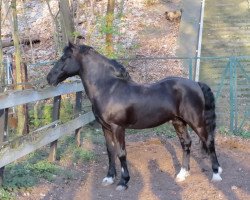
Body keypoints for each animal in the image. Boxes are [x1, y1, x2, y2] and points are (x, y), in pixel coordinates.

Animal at [47, 42, 223, 191]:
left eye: (64, 58)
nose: (49, 78)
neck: (108, 89)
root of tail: (196, 84)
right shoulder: (105, 127)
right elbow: (110, 151)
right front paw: (109, 178)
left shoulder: (118, 128)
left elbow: (121, 153)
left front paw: (123, 181)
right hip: (178, 121)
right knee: (186, 143)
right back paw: (182, 174)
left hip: (196, 122)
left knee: (209, 141)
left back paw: (216, 174)